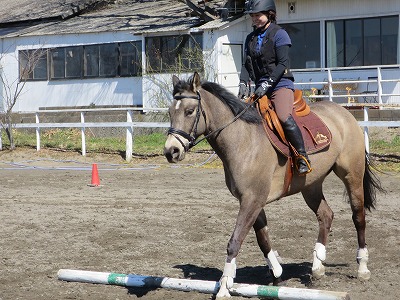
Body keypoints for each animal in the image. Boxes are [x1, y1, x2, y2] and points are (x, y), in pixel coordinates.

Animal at [162, 72, 382, 298]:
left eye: (189, 111)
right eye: (170, 111)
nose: (171, 151)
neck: (243, 139)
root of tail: (344, 113)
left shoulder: (252, 199)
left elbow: (235, 241)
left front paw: (224, 286)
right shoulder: (251, 201)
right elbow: (263, 239)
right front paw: (277, 274)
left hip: (351, 175)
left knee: (358, 217)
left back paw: (362, 267)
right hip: (311, 185)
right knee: (326, 215)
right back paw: (317, 267)